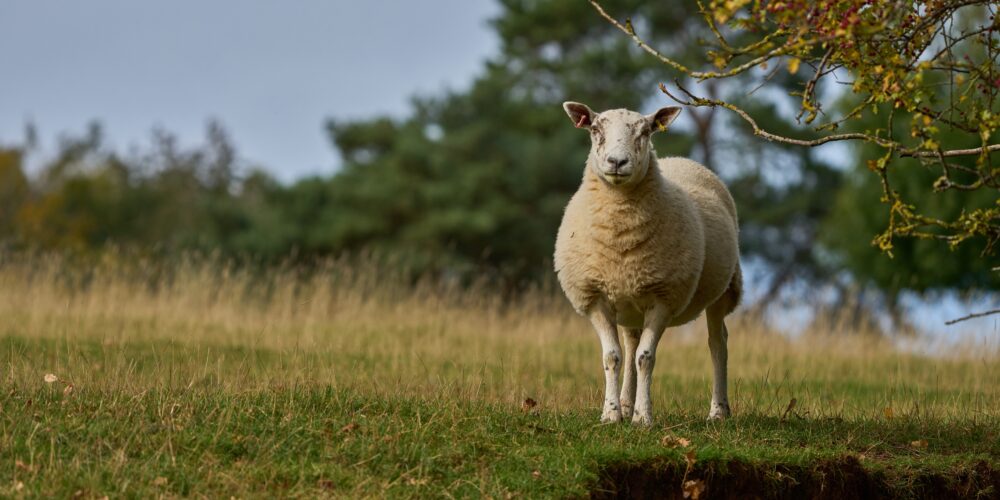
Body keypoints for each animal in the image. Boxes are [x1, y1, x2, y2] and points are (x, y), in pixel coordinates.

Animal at [554, 101, 742, 426]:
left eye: (645, 132)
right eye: (595, 129)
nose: (617, 162)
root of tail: (680, 160)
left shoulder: (663, 297)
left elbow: (646, 358)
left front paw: (643, 417)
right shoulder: (595, 296)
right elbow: (612, 356)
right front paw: (611, 414)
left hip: (723, 290)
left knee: (718, 344)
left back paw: (718, 410)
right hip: (629, 299)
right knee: (630, 345)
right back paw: (625, 402)